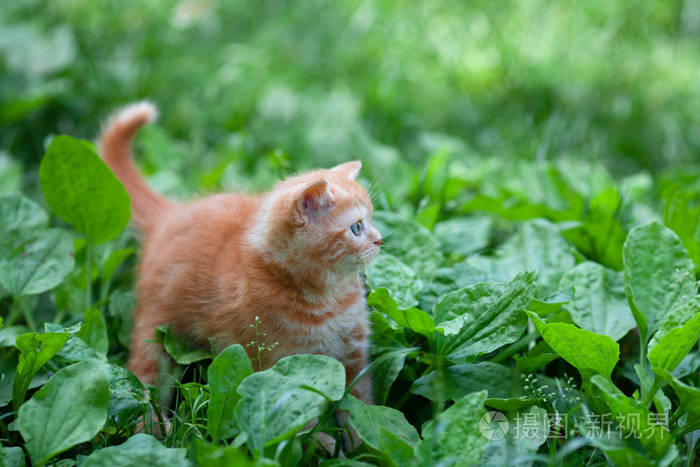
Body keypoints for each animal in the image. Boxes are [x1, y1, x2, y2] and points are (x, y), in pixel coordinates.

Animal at [98, 102, 380, 406]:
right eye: (357, 227)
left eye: (372, 220)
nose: (379, 240)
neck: (327, 297)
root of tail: (170, 215)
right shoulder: (281, 368)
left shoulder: (353, 360)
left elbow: (359, 407)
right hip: (156, 330)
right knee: (144, 378)